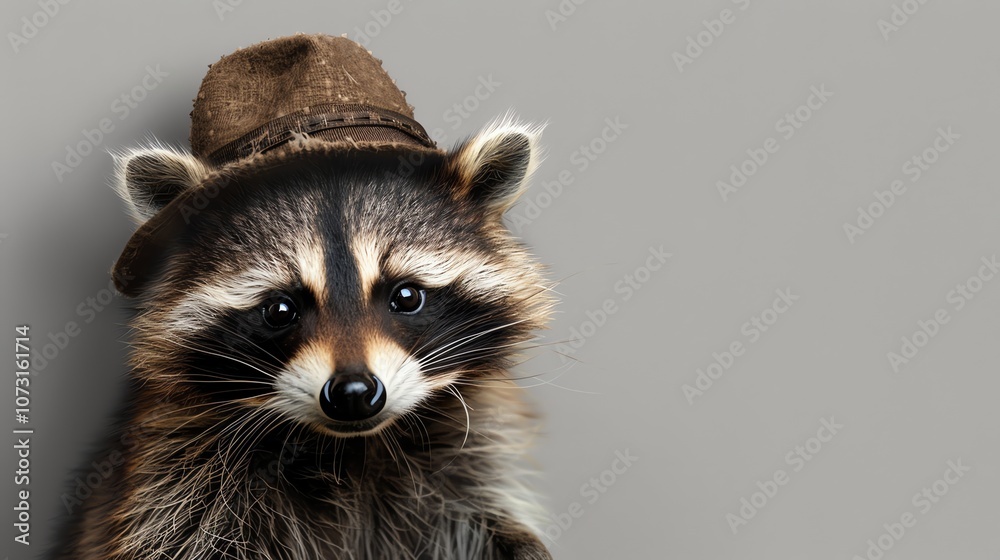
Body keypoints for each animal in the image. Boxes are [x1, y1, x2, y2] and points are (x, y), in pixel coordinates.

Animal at [55, 35, 555, 560]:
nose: (354, 394)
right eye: (280, 310)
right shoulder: (177, 478)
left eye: (406, 296)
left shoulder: (471, 460)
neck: (352, 449)